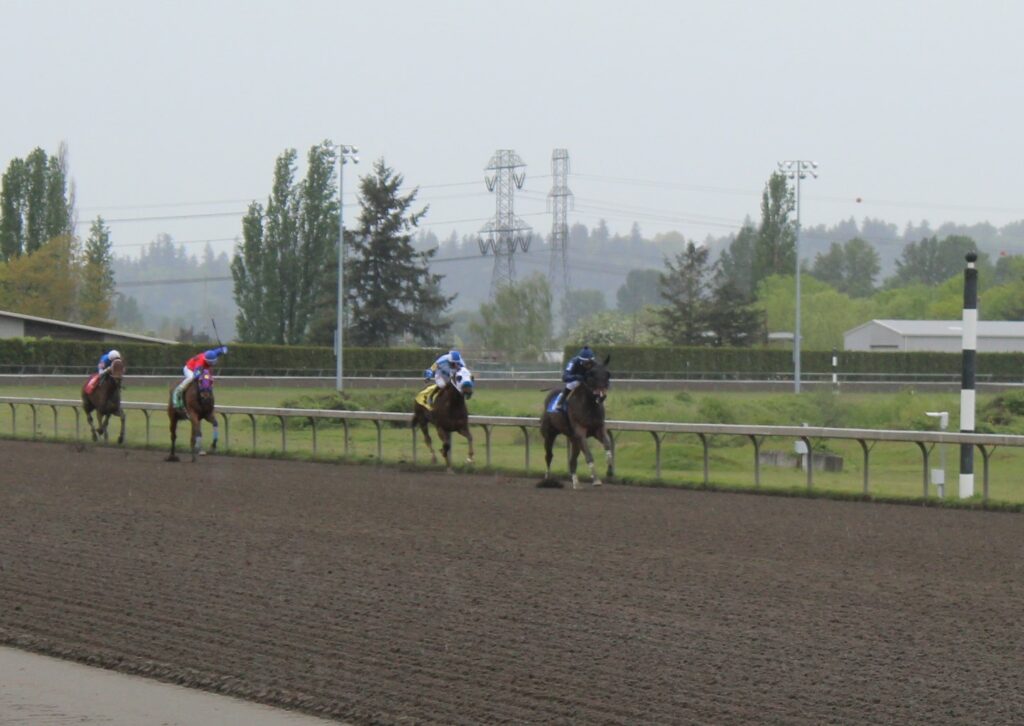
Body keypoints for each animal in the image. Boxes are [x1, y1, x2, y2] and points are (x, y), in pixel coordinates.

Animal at [540, 356, 610, 489]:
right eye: (592, 374)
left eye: (607, 374)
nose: (602, 395)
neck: (589, 405)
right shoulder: (580, 431)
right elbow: (589, 455)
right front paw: (596, 479)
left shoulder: (598, 429)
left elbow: (607, 445)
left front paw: (609, 466)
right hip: (549, 434)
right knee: (548, 455)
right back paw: (547, 480)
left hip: (573, 439)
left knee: (572, 460)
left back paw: (576, 483)